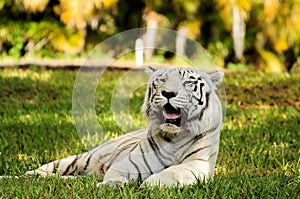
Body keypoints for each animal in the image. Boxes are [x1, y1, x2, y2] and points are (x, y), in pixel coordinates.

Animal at [25, 66, 223, 187]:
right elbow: (117, 173)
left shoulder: (199, 164)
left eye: (188, 83)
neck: (174, 135)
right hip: (81, 159)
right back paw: (26, 176)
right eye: (162, 81)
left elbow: (173, 172)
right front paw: (112, 185)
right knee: (48, 168)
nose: (168, 93)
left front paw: (151, 184)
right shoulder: (133, 162)